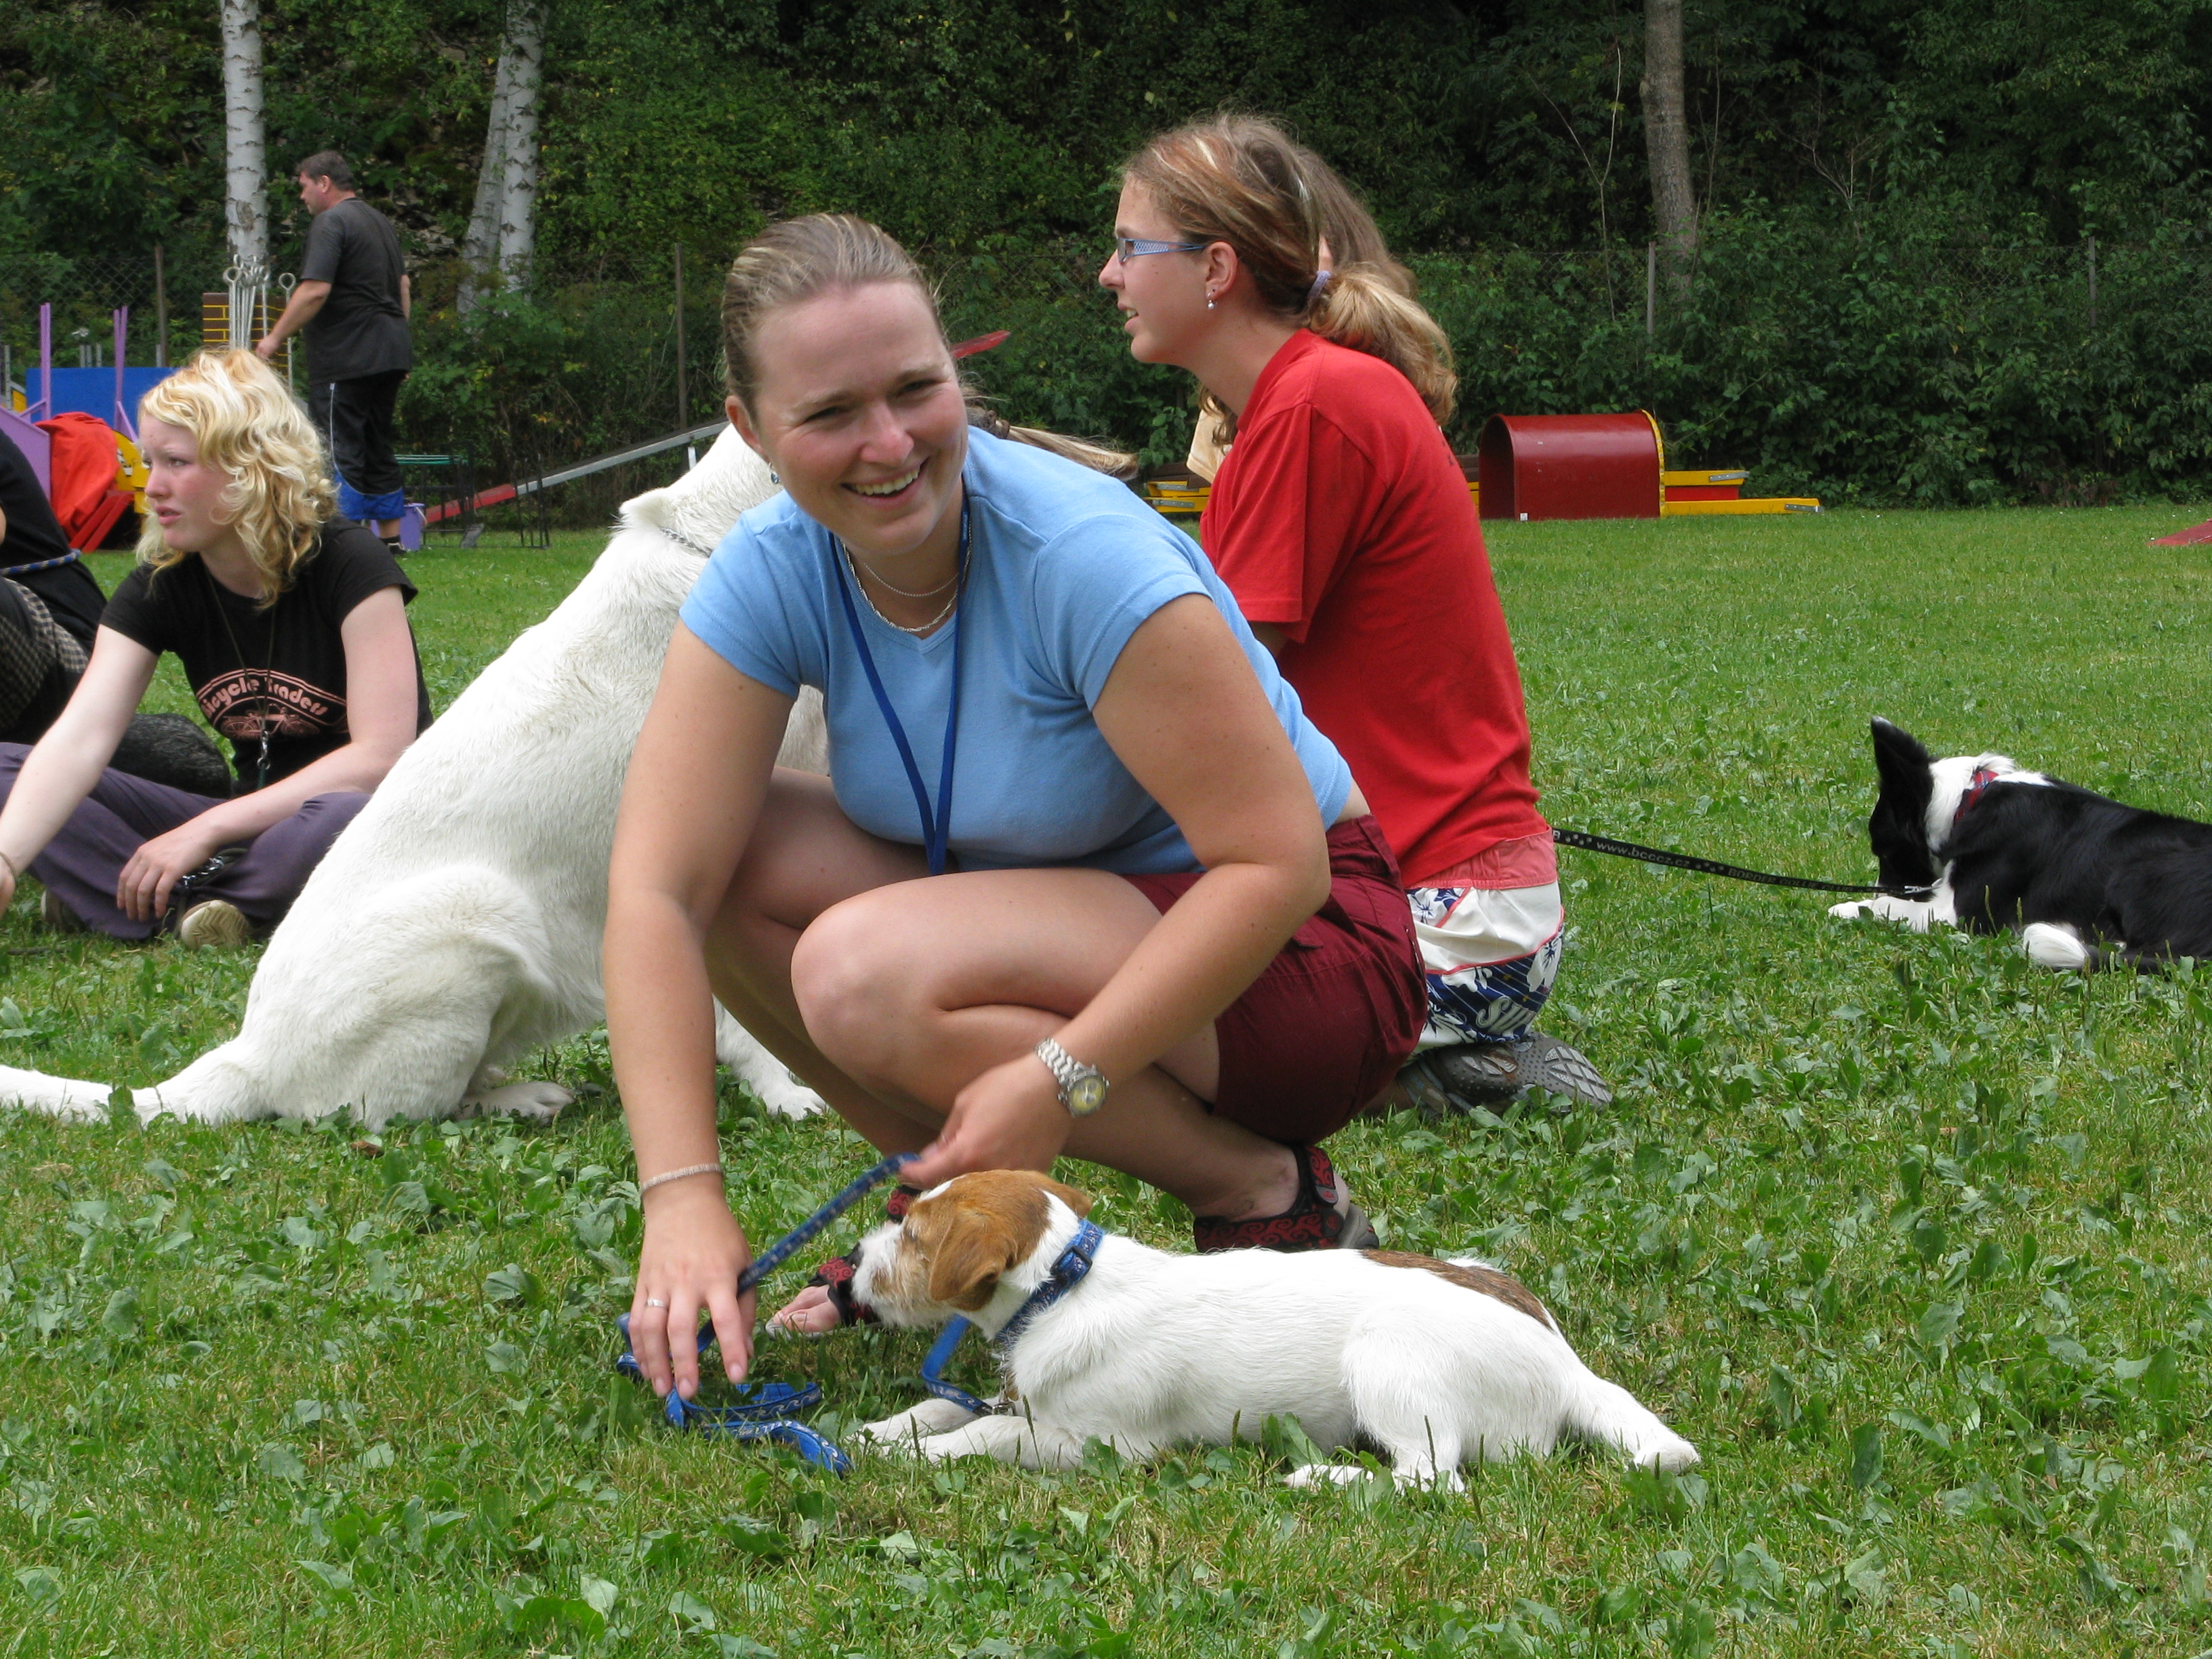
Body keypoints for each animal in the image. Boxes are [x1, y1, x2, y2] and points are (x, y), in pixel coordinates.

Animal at [2, 424, 832, 1132]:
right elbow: (742, 1020)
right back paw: (524, 1100)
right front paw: (783, 1093)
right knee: (408, 1114)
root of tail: (249, 1058)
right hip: (478, 912)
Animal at [844, 1176, 1689, 1486]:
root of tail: (1568, 1369)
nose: (849, 1262)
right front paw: (879, 1431)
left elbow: (982, 1434)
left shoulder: (1099, 1444)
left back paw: (1323, 1478)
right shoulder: (1019, 1399)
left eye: (914, 1238)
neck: (1063, 1287)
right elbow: (944, 1406)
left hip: (1388, 1362)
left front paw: (915, 1455)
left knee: (1429, 1479)